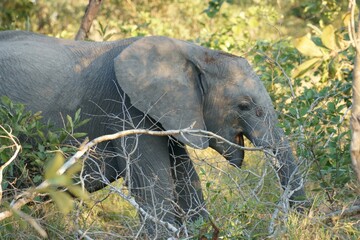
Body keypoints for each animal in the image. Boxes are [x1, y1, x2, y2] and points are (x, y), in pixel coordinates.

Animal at [0, 30, 306, 238]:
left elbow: (186, 180)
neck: (192, 52)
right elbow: (154, 188)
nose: (296, 224)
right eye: (244, 106)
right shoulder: (126, 107)